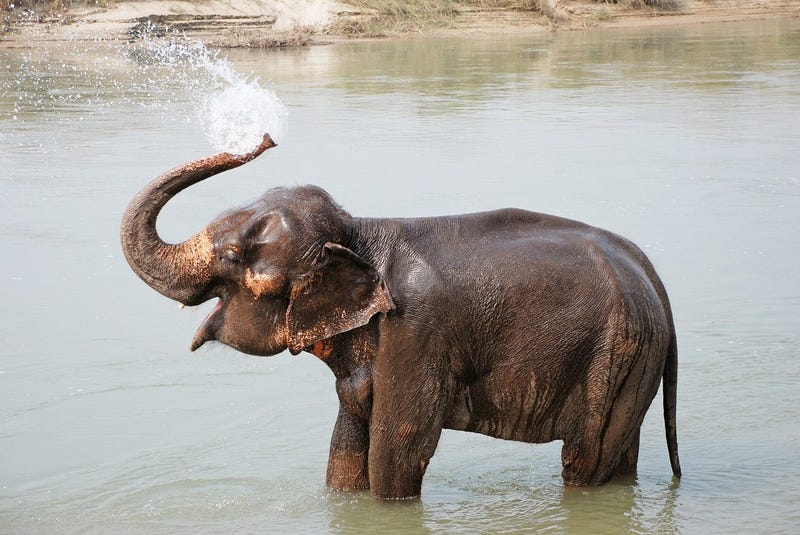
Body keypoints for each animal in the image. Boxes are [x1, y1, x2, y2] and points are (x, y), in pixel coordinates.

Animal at [121, 134, 681, 500]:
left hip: (613, 355)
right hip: (636, 359)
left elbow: (398, 449)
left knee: (584, 460)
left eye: (234, 256)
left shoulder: (417, 333)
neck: (359, 233)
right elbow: (347, 444)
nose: (265, 137)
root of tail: (654, 277)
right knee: (620, 453)